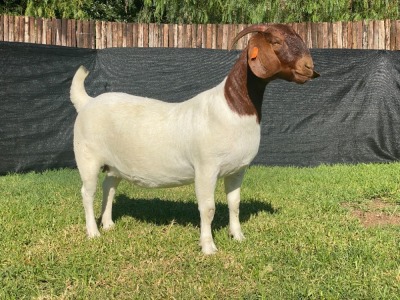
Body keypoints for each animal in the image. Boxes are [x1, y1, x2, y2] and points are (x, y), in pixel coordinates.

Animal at [69, 23, 318, 254]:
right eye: (276, 41)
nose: (309, 67)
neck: (232, 109)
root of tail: (87, 102)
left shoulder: (238, 169)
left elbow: (234, 203)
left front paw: (238, 236)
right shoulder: (206, 168)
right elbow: (207, 208)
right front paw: (208, 247)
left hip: (115, 164)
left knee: (109, 186)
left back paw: (108, 224)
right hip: (87, 157)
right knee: (87, 192)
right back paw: (93, 232)